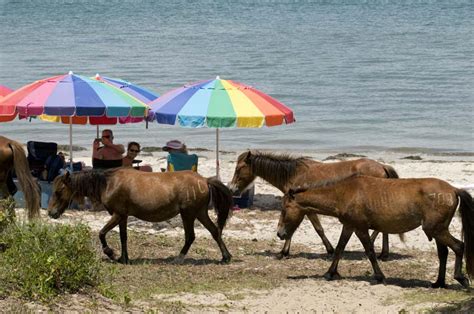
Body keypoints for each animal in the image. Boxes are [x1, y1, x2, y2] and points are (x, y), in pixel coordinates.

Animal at [48, 168, 233, 264]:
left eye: (58, 192)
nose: (51, 213)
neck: (108, 183)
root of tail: (205, 180)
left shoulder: (117, 215)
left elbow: (101, 233)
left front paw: (110, 253)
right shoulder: (122, 217)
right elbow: (123, 237)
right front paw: (123, 258)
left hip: (188, 214)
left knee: (190, 236)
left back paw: (178, 258)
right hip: (200, 213)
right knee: (214, 231)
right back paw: (225, 257)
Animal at [228, 151, 398, 258]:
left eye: (239, 168)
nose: (232, 189)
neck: (293, 174)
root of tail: (383, 166)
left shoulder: (303, 208)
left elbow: (315, 229)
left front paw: (284, 252)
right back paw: (384, 253)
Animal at [278, 175, 474, 288]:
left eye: (284, 209)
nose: (280, 234)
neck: (344, 193)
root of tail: (454, 189)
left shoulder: (361, 229)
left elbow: (370, 251)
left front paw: (379, 276)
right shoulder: (349, 226)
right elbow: (340, 249)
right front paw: (330, 273)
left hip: (436, 229)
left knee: (459, 246)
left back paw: (460, 278)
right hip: (438, 231)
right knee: (444, 253)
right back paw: (439, 283)